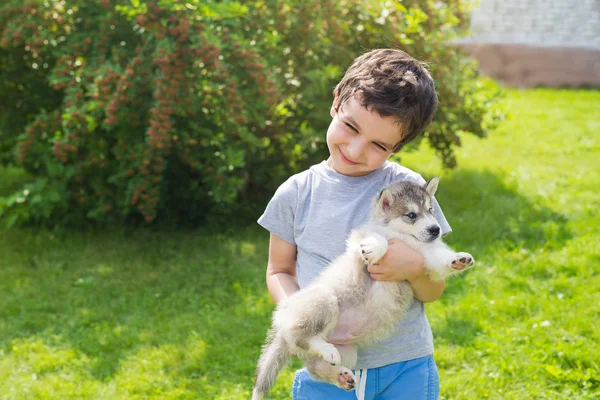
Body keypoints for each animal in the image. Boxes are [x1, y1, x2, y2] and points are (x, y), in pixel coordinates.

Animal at [252, 179, 474, 400]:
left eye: (430, 210)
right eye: (411, 215)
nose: (436, 229)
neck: (405, 238)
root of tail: (283, 321)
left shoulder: (425, 259)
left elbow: (440, 259)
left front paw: (458, 259)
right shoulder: (359, 242)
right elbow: (380, 241)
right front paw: (375, 249)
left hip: (348, 353)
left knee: (315, 366)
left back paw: (340, 375)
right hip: (325, 300)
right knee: (299, 337)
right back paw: (323, 348)